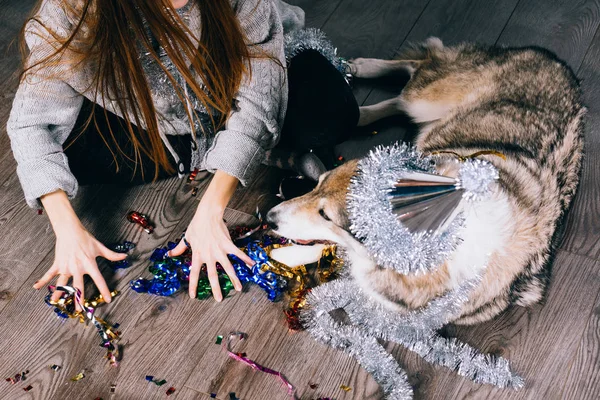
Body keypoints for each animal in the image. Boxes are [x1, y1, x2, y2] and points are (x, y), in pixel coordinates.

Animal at [266, 37, 580, 324]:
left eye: (326, 215)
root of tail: (557, 61)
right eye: (318, 182)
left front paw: (287, 255)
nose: (269, 218)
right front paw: (287, 255)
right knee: (416, 68)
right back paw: (363, 74)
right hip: (424, 100)